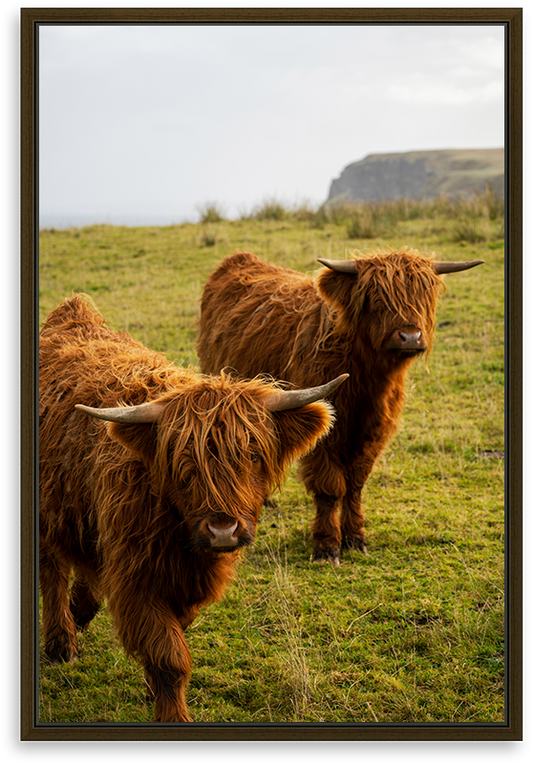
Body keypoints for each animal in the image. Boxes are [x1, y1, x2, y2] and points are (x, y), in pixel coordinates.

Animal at [39, 294, 348, 722]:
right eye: (183, 465)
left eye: (253, 455)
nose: (222, 530)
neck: (182, 540)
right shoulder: (138, 580)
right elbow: (169, 657)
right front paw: (171, 713)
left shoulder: (184, 584)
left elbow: (172, 641)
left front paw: (152, 688)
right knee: (51, 573)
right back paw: (61, 645)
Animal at [197, 248, 484, 565]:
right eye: (377, 298)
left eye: (425, 295)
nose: (410, 337)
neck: (366, 378)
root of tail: (241, 258)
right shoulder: (325, 434)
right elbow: (330, 487)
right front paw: (326, 546)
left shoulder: (375, 431)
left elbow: (355, 484)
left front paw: (355, 538)